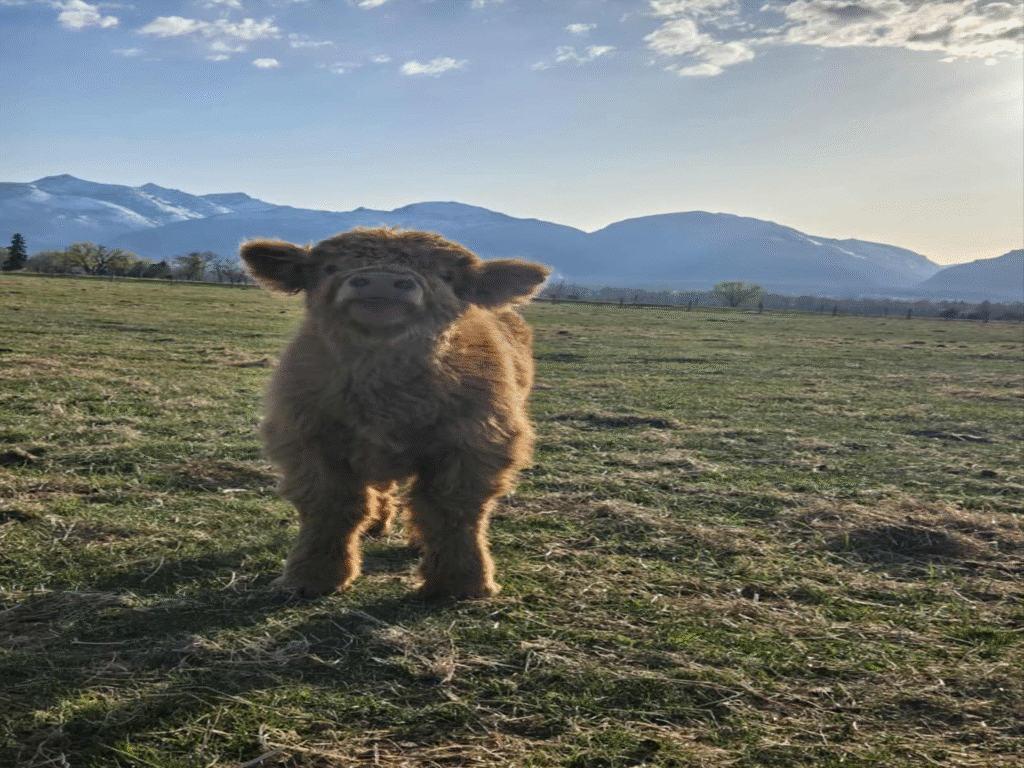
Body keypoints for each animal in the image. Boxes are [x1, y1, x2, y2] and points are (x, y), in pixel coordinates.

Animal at [240, 227, 550, 601]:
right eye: (330, 268)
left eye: (447, 276)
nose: (381, 281)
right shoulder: (307, 439)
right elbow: (330, 508)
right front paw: (312, 575)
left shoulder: (475, 443)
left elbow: (450, 511)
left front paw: (461, 582)